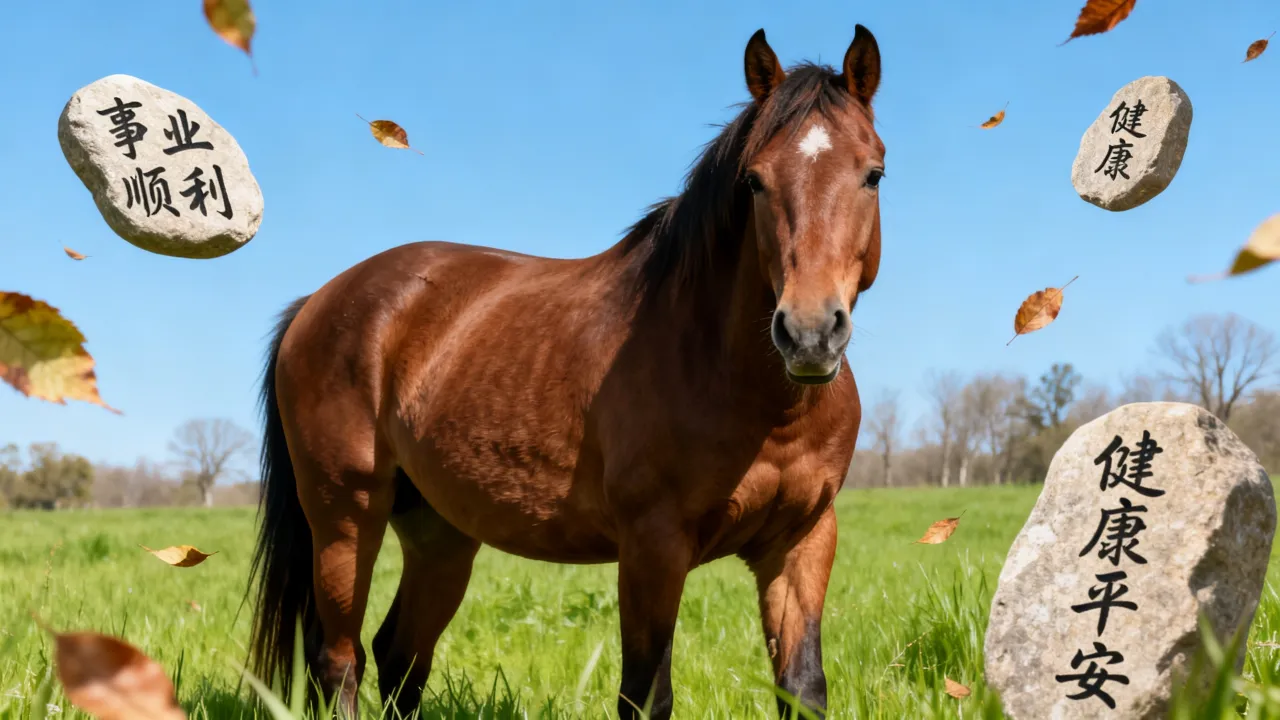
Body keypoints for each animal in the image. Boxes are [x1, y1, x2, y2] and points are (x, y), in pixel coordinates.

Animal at [248, 24, 884, 720]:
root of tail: (318, 301)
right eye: (754, 181)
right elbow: (646, 696)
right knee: (341, 661)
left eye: (873, 174)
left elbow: (802, 689)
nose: (809, 333)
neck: (753, 395)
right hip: (344, 515)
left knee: (399, 657)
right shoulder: (653, 547)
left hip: (440, 532)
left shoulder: (801, 542)